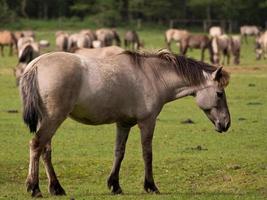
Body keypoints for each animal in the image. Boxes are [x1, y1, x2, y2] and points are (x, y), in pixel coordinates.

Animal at [19, 49, 231, 197]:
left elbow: (119, 153)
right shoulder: (147, 122)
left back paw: (56, 188)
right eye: (219, 94)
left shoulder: (123, 124)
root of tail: (35, 64)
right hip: (53, 119)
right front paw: (150, 186)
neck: (153, 76)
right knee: (36, 145)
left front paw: (115, 185)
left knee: (45, 150)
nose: (226, 123)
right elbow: (147, 154)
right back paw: (34, 188)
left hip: (48, 120)